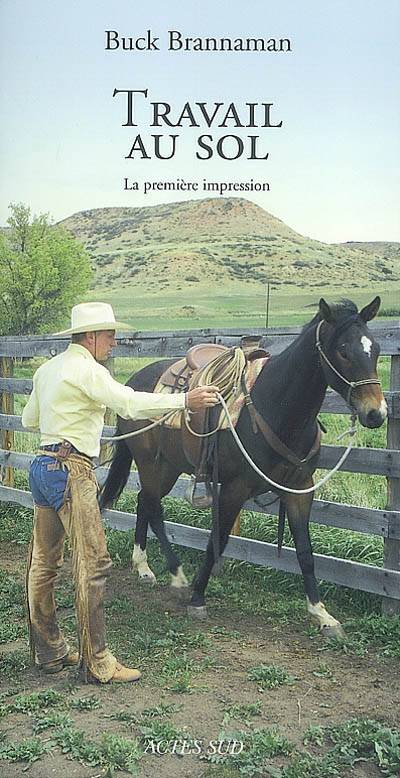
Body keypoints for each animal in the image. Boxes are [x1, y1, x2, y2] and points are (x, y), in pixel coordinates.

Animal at [99, 297, 387, 638]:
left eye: (376, 349)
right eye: (343, 351)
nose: (376, 413)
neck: (276, 405)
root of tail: (133, 382)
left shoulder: (300, 488)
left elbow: (305, 551)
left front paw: (322, 614)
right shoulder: (235, 488)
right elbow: (219, 538)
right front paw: (198, 597)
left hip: (167, 467)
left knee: (145, 502)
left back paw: (143, 567)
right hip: (150, 463)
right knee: (154, 508)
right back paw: (178, 577)